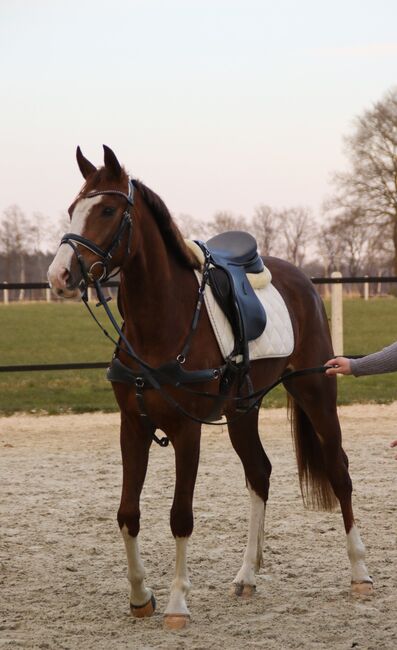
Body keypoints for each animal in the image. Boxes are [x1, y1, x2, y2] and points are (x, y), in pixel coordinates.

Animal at [48, 146, 372, 628]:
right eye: (73, 209)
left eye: (107, 210)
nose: (59, 276)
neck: (162, 323)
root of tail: (303, 282)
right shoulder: (133, 426)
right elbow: (128, 513)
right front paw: (141, 596)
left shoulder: (187, 431)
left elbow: (180, 516)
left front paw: (178, 603)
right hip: (242, 410)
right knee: (259, 473)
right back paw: (247, 575)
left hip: (315, 392)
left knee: (339, 471)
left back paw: (359, 572)